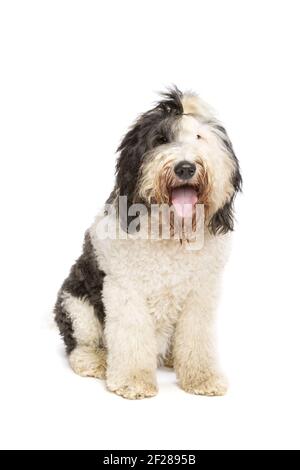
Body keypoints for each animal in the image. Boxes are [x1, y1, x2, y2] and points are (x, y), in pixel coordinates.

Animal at [54, 86, 241, 398]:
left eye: (199, 137)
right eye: (161, 139)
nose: (185, 167)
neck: (170, 232)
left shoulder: (201, 292)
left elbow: (197, 337)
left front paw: (201, 378)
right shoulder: (124, 289)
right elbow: (131, 337)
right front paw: (133, 380)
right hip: (76, 303)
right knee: (81, 342)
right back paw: (95, 360)